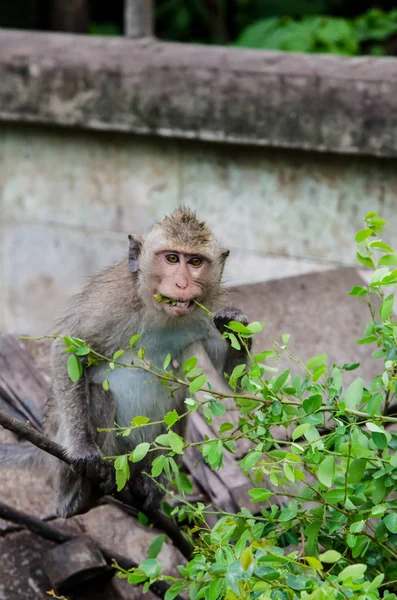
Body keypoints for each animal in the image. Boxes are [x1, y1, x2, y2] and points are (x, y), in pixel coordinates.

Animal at [0, 209, 249, 516]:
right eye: (171, 258)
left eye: (195, 261)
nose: (181, 283)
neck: (159, 311)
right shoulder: (113, 301)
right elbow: (67, 349)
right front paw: (83, 448)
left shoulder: (210, 306)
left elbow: (233, 381)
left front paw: (235, 326)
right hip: (64, 454)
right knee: (98, 396)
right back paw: (78, 495)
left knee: (178, 401)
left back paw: (148, 487)